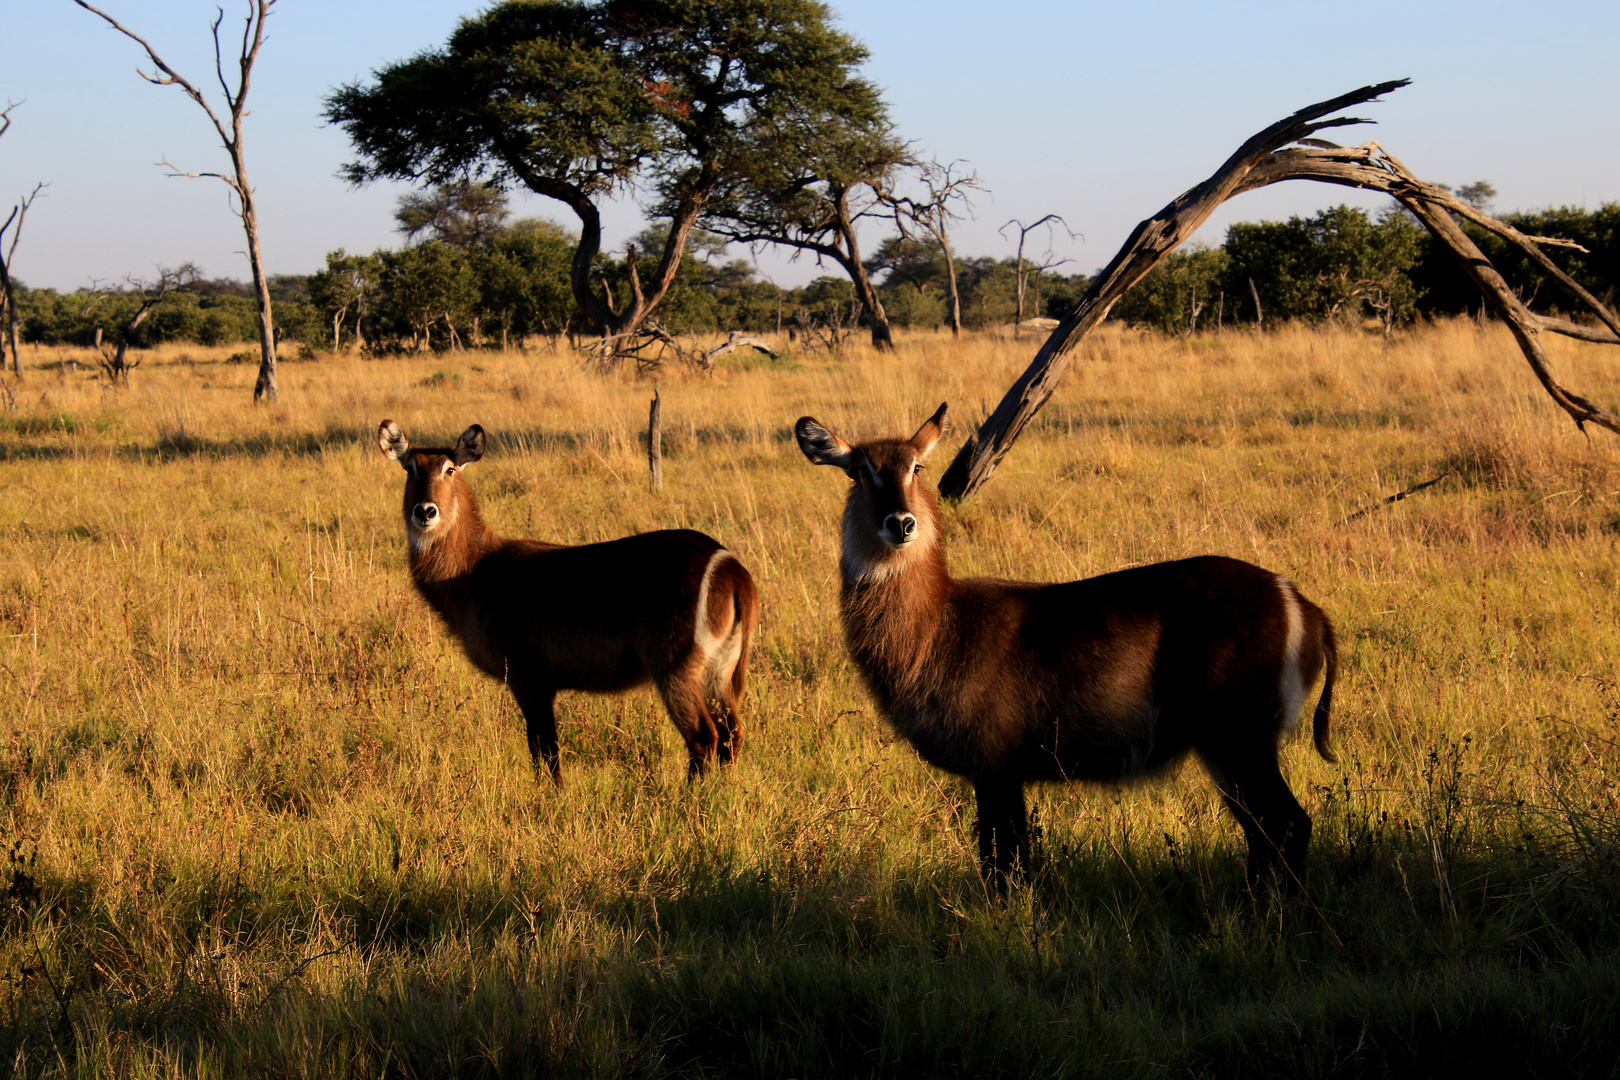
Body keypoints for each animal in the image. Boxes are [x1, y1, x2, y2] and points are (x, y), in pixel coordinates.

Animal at [379, 417, 758, 780]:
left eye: (450, 469)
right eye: (410, 468)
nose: (425, 511)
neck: (476, 569)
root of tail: (732, 568)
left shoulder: (528, 676)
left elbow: (544, 750)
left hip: (675, 667)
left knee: (703, 736)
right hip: (720, 670)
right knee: (731, 733)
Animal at [790, 401, 1334, 893]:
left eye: (916, 467)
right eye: (860, 471)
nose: (901, 523)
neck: (938, 627)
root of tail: (1302, 603)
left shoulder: (996, 767)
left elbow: (1004, 868)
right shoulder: (999, 773)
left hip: (1239, 738)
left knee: (1289, 826)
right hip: (1229, 749)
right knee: (1264, 835)